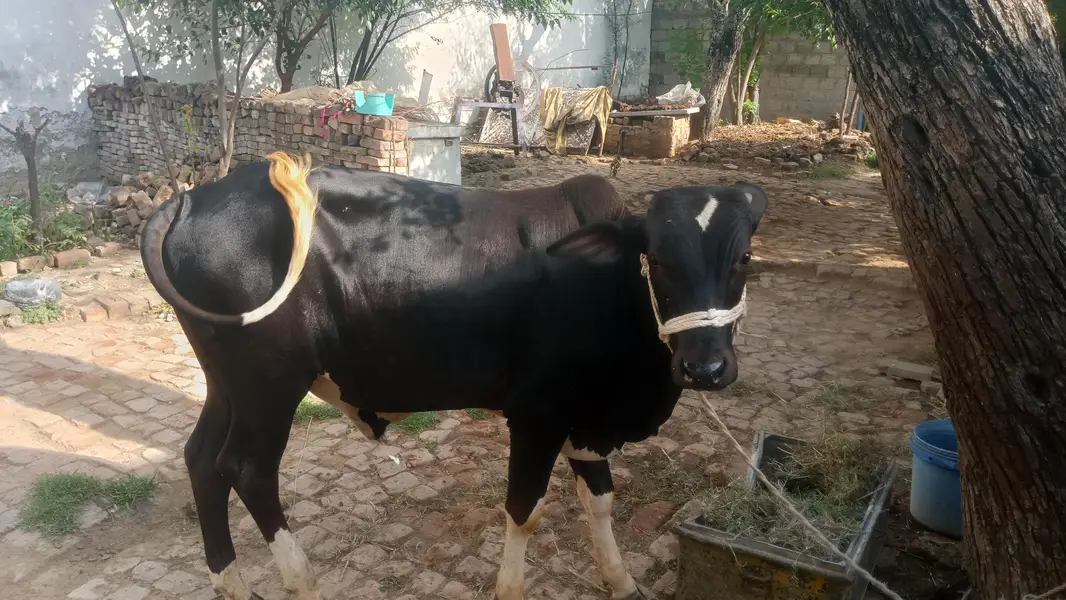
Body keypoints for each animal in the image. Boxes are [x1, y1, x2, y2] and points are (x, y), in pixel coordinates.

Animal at [139, 152, 767, 600]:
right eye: (657, 259)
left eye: (744, 258)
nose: (706, 367)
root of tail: (192, 198)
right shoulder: (537, 415)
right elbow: (524, 512)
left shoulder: (586, 414)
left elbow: (601, 499)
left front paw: (620, 580)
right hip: (269, 383)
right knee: (246, 470)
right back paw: (301, 582)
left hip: (227, 383)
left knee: (201, 458)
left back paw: (231, 583)